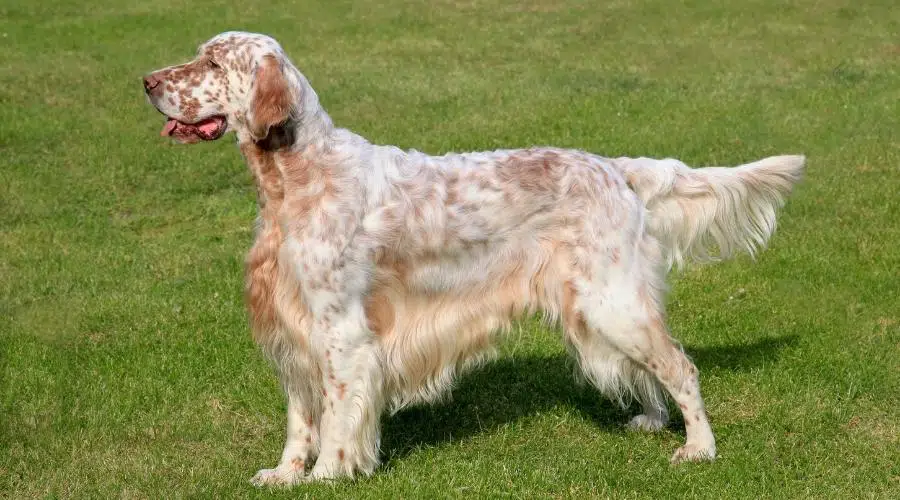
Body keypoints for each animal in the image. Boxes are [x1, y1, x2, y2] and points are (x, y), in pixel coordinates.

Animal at [144, 31, 804, 484]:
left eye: (211, 63)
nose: (146, 82)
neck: (297, 178)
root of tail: (616, 169)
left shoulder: (340, 333)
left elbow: (334, 418)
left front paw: (327, 476)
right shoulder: (294, 327)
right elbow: (299, 419)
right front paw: (284, 475)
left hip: (611, 301)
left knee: (681, 367)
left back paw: (698, 448)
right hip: (598, 308)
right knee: (650, 370)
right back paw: (651, 421)